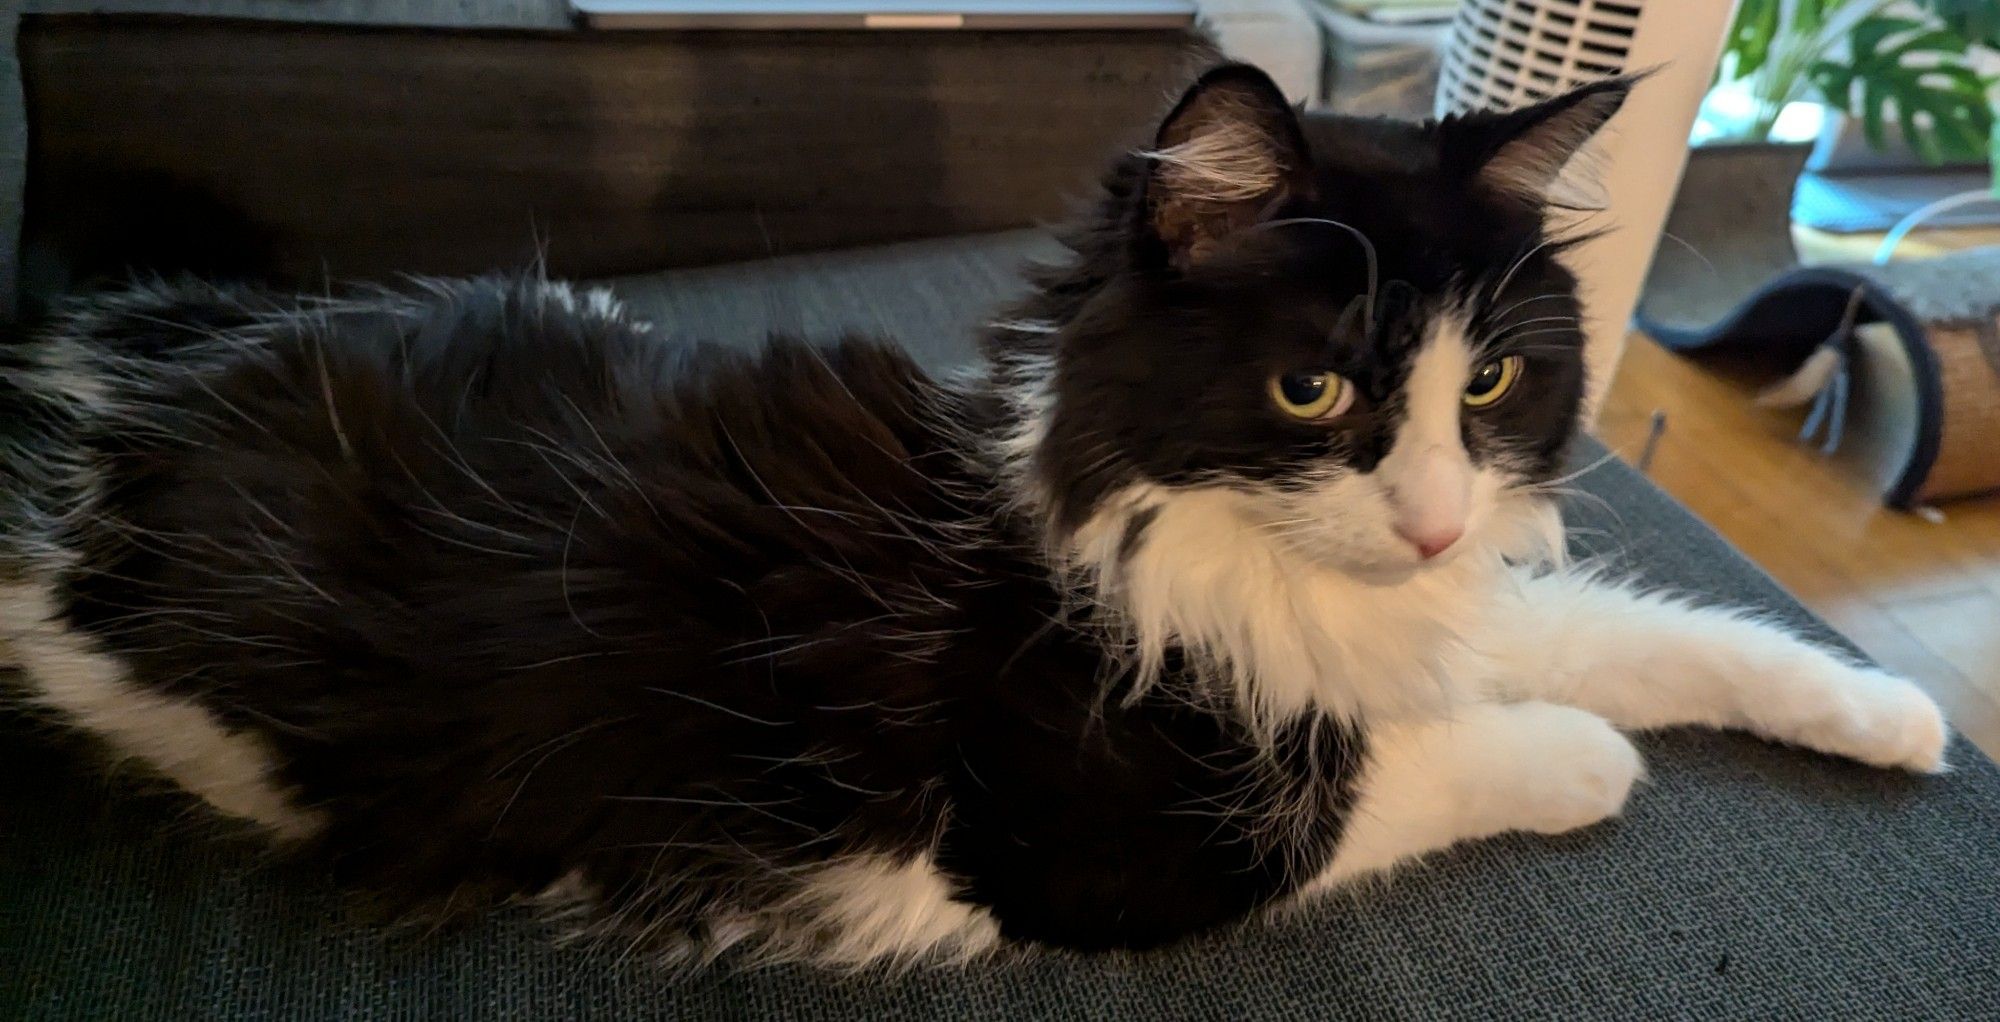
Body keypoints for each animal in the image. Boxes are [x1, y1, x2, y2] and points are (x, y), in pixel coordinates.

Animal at [0, 68, 1936, 972]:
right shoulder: (1104, 835)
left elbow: (1633, 631)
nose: (1446, 523)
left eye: (1491, 389)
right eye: (1316, 392)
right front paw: (1593, 761)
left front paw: (1890, 713)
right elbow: (1410, 768)